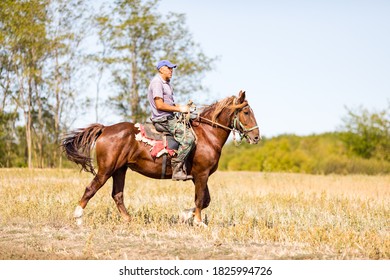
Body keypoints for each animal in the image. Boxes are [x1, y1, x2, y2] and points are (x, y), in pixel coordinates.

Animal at [62, 91, 260, 226]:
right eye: (246, 112)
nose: (257, 137)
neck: (207, 135)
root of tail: (105, 128)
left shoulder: (199, 176)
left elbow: (205, 200)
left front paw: (184, 216)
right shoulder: (201, 174)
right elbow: (200, 199)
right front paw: (198, 222)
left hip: (120, 170)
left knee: (117, 195)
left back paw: (128, 219)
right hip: (106, 169)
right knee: (91, 188)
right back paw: (78, 217)